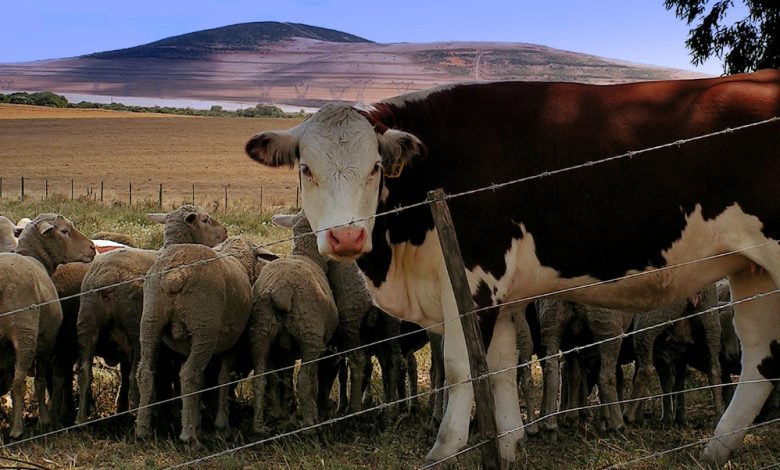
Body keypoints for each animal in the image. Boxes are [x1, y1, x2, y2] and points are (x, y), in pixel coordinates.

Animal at [246, 70, 780, 468]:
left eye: (375, 167)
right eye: (306, 169)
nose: (346, 237)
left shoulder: (474, 282)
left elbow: (463, 368)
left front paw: (443, 451)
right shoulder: (501, 298)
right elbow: (502, 369)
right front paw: (507, 447)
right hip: (753, 275)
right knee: (759, 361)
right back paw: (715, 450)